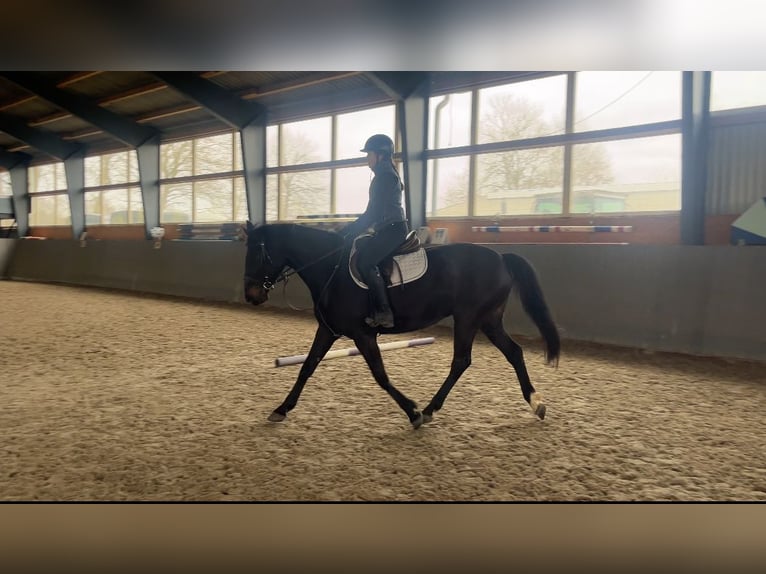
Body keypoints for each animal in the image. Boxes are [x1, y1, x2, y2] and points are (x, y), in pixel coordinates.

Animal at [243, 221, 560, 429]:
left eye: (257, 253)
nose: (251, 296)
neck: (330, 267)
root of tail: (501, 258)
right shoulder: (328, 330)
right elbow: (307, 367)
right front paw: (281, 409)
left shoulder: (363, 335)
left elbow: (381, 376)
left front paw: (413, 412)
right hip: (489, 320)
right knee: (514, 352)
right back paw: (536, 403)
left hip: (469, 318)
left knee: (461, 361)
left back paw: (430, 410)